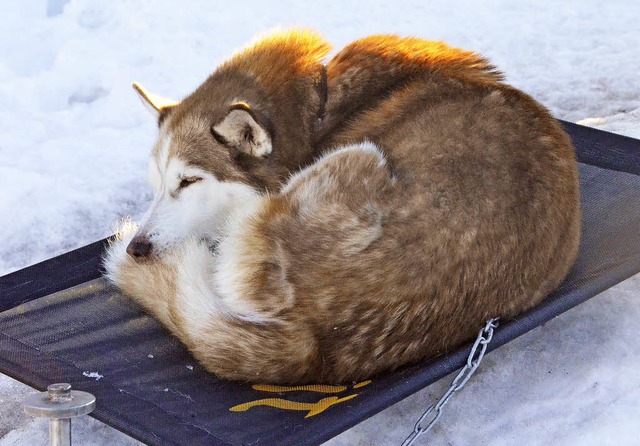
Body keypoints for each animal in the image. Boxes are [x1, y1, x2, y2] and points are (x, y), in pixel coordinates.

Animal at [104, 28, 580, 384]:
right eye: (156, 186)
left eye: (188, 181)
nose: (137, 249)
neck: (318, 104)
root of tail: (317, 338)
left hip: (359, 158)